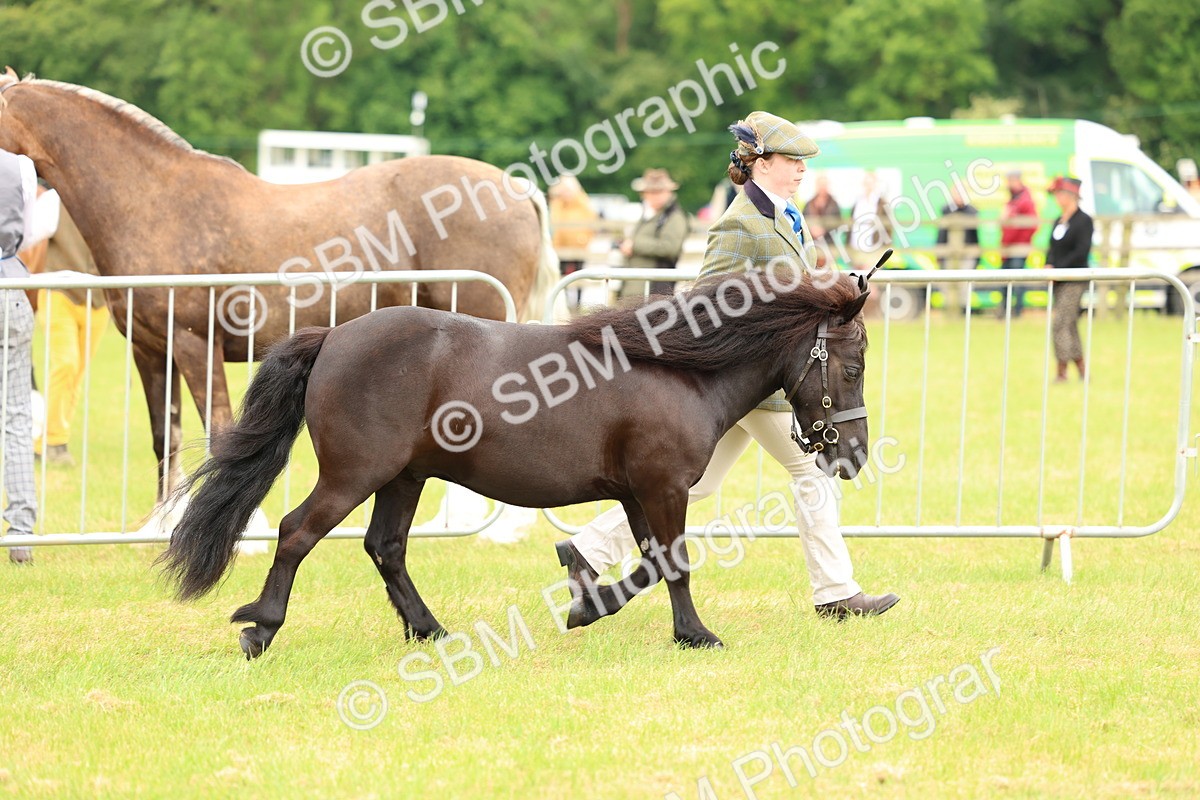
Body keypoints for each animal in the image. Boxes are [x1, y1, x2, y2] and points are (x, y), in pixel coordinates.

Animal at [0, 69, 559, 500]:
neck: (155, 202)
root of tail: (519, 191)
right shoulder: (150, 349)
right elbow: (166, 437)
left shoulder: (196, 345)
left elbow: (219, 432)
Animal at [158, 269, 873, 657]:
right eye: (854, 365)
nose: (854, 456)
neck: (677, 371)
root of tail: (333, 335)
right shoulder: (662, 488)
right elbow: (673, 564)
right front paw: (694, 634)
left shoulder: (637, 494)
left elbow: (647, 564)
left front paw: (590, 601)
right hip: (353, 476)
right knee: (296, 533)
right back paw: (261, 629)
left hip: (403, 479)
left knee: (386, 547)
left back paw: (430, 630)